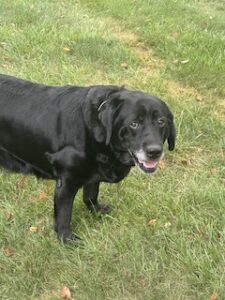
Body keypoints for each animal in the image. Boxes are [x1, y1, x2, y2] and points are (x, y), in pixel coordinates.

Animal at [0, 74, 176, 241]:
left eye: (161, 121)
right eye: (134, 124)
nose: (154, 151)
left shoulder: (94, 173)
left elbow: (90, 195)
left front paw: (97, 211)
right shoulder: (66, 181)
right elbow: (64, 214)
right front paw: (66, 239)